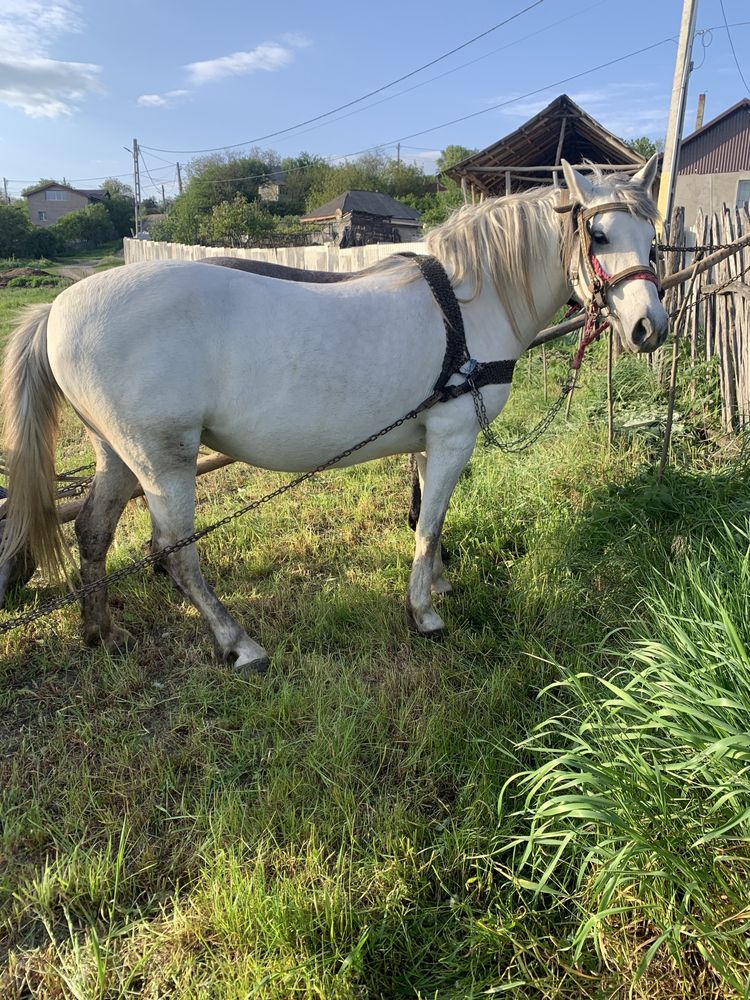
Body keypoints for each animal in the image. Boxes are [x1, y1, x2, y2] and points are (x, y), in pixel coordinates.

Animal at [1, 158, 668, 672]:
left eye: (653, 240)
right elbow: (429, 523)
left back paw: (100, 631)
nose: (650, 328)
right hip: (164, 459)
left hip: (118, 453)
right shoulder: (454, 436)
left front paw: (437, 583)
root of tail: (58, 309)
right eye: (599, 236)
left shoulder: (430, 433)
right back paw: (239, 644)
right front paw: (424, 612)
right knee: (175, 552)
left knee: (93, 530)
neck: (469, 300)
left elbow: (426, 513)